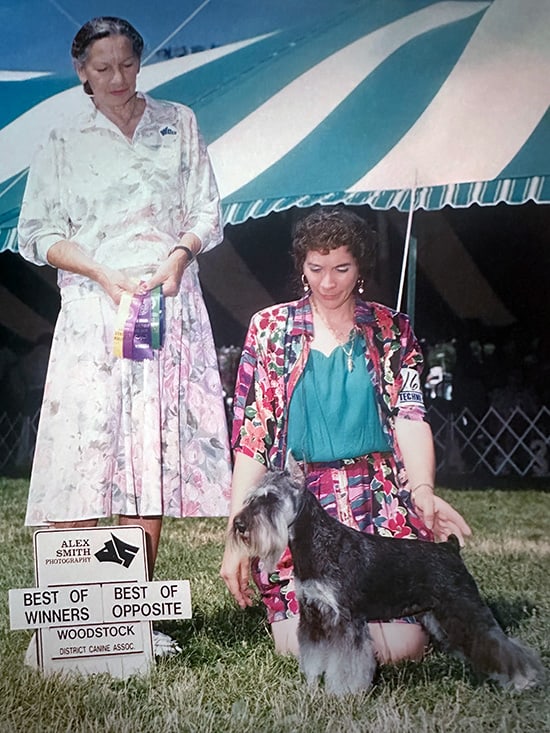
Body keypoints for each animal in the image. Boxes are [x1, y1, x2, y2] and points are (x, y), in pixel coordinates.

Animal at [231, 458, 544, 692]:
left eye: (271, 499)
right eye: (250, 499)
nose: (239, 524)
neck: (318, 542)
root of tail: (450, 548)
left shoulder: (346, 621)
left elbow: (345, 664)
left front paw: (342, 694)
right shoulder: (314, 618)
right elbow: (314, 658)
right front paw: (311, 688)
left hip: (465, 608)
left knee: (500, 643)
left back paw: (525, 679)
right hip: (441, 616)